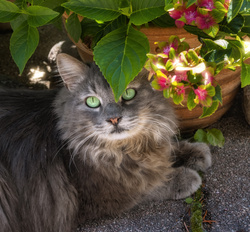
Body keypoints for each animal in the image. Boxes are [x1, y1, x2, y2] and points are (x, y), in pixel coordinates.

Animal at [0, 53, 211, 231]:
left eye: (128, 94)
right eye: (92, 102)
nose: (114, 119)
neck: (123, 150)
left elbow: (168, 150)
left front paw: (197, 151)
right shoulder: (108, 196)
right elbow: (150, 185)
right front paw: (184, 177)